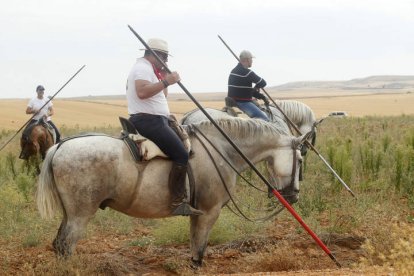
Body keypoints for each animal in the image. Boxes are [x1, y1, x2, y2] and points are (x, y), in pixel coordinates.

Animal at [37, 117, 310, 268]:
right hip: (80, 214)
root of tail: (60, 146)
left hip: (70, 214)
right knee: (66, 245)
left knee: (59, 244)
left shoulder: (197, 213)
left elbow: (193, 245)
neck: (222, 149)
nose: (294, 196)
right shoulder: (209, 212)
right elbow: (199, 249)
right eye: (300, 159)